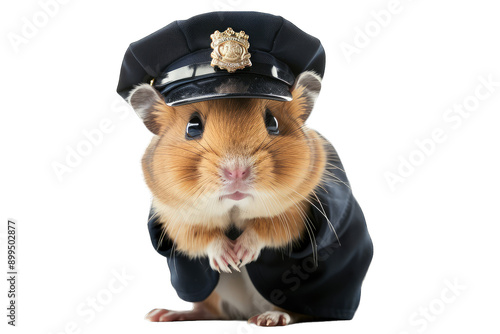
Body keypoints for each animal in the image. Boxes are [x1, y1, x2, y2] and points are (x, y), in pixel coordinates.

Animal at [129, 72, 362, 324]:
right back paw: (162, 314)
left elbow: (268, 229)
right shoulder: (176, 218)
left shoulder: (298, 212)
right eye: (192, 127)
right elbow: (201, 237)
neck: (235, 207)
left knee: (292, 311)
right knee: (209, 310)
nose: (237, 171)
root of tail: (246, 311)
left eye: (272, 123)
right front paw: (229, 261)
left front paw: (240, 255)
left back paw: (268, 319)